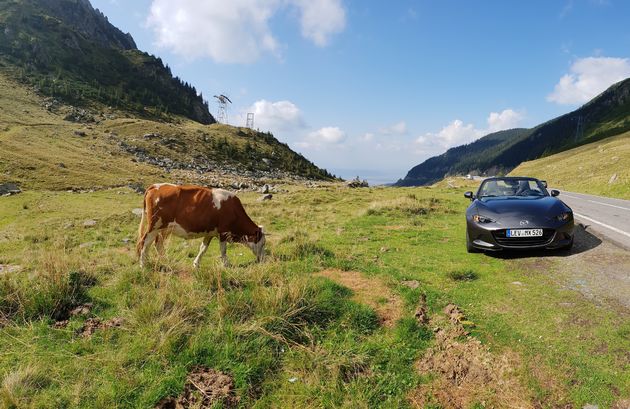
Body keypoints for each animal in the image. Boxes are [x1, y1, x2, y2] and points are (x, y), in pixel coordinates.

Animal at [137, 184, 266, 268]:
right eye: (263, 243)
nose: (263, 259)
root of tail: (156, 186)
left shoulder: (210, 232)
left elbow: (203, 248)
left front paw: (196, 264)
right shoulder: (223, 232)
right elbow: (223, 250)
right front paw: (226, 264)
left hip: (164, 228)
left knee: (157, 243)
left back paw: (165, 261)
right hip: (154, 226)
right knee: (145, 242)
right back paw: (143, 264)